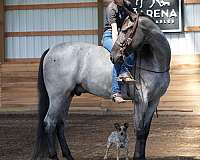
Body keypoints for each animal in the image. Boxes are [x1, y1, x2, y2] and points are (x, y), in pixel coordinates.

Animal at [32, 14, 170, 159]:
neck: (154, 62)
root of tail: (51, 49)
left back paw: (69, 155)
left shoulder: (153, 101)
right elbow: (139, 130)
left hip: (67, 96)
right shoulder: (141, 101)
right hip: (57, 96)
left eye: (126, 30)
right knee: (49, 123)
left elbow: (146, 131)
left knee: (59, 124)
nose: (113, 56)